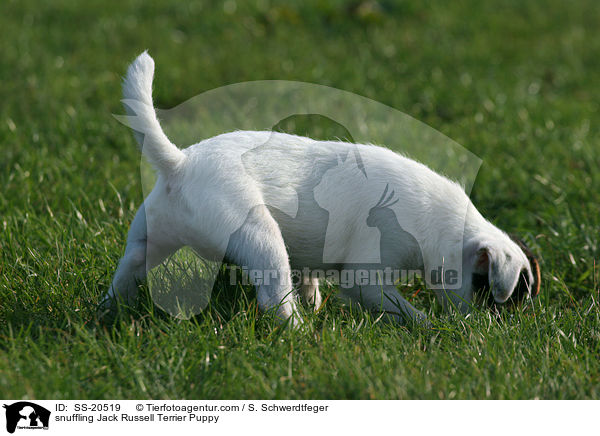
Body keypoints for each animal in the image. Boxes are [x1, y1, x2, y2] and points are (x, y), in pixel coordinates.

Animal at [101, 51, 540, 326]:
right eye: (491, 294)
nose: (492, 331)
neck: (443, 225)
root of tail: (179, 163)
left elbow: (310, 277)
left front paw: (314, 301)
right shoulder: (366, 273)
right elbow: (396, 305)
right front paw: (428, 326)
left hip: (149, 237)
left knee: (127, 272)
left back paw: (112, 312)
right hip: (261, 238)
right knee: (275, 299)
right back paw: (299, 332)